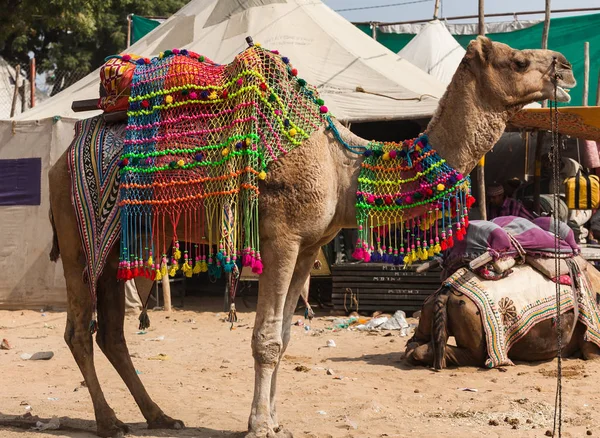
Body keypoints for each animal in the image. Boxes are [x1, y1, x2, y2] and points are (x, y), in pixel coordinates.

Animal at [48, 38, 576, 438]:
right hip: (75, 233)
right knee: (77, 329)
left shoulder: (308, 246)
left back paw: (158, 416)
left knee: (112, 332)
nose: (567, 68)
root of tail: (61, 156)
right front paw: (259, 425)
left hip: (121, 242)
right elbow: (264, 338)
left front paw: (275, 419)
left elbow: (283, 337)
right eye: (518, 60)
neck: (346, 167)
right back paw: (109, 421)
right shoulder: (280, 235)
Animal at [406, 256, 600, 370]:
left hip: (430, 305)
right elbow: (592, 354)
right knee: (474, 355)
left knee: (416, 342)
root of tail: (446, 291)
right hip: (470, 317)